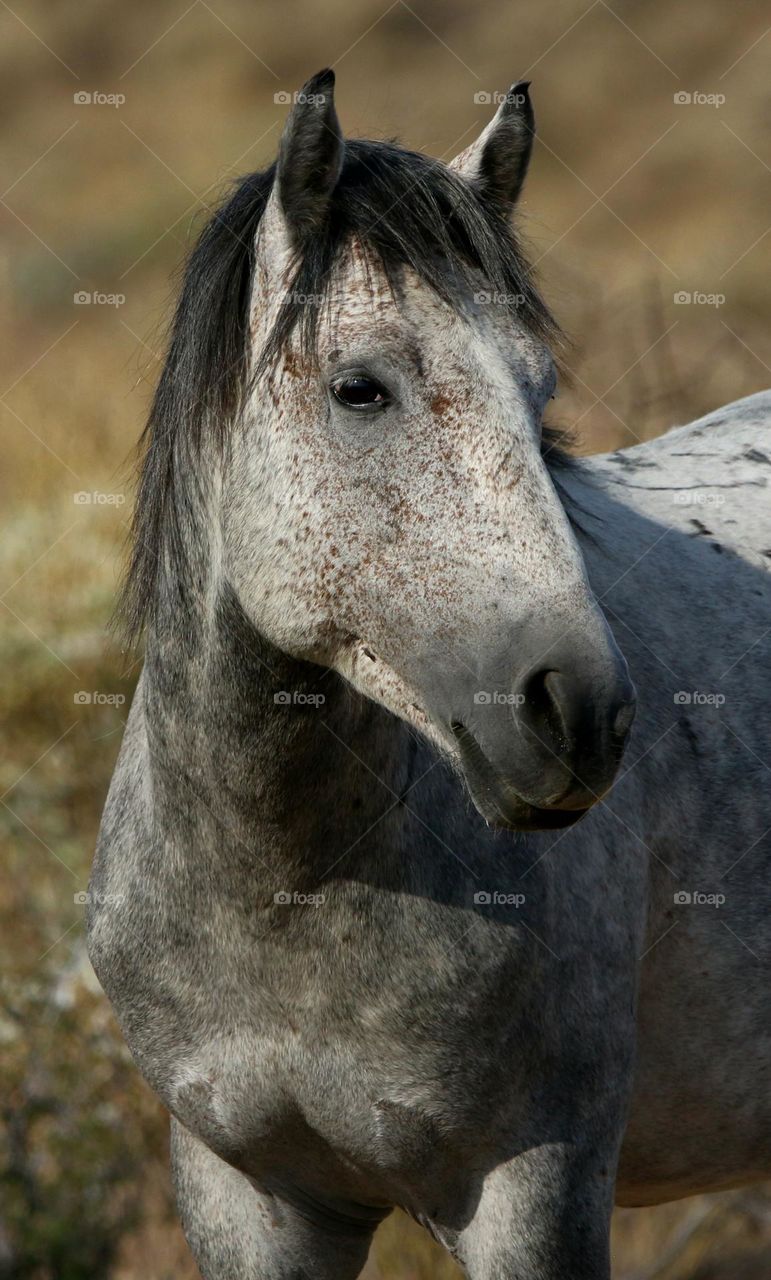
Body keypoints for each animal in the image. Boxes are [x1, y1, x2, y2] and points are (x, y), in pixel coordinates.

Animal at [87, 69, 771, 1279]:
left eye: (540, 397)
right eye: (361, 390)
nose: (580, 713)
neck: (283, 893)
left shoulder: (533, 1190)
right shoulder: (245, 1196)